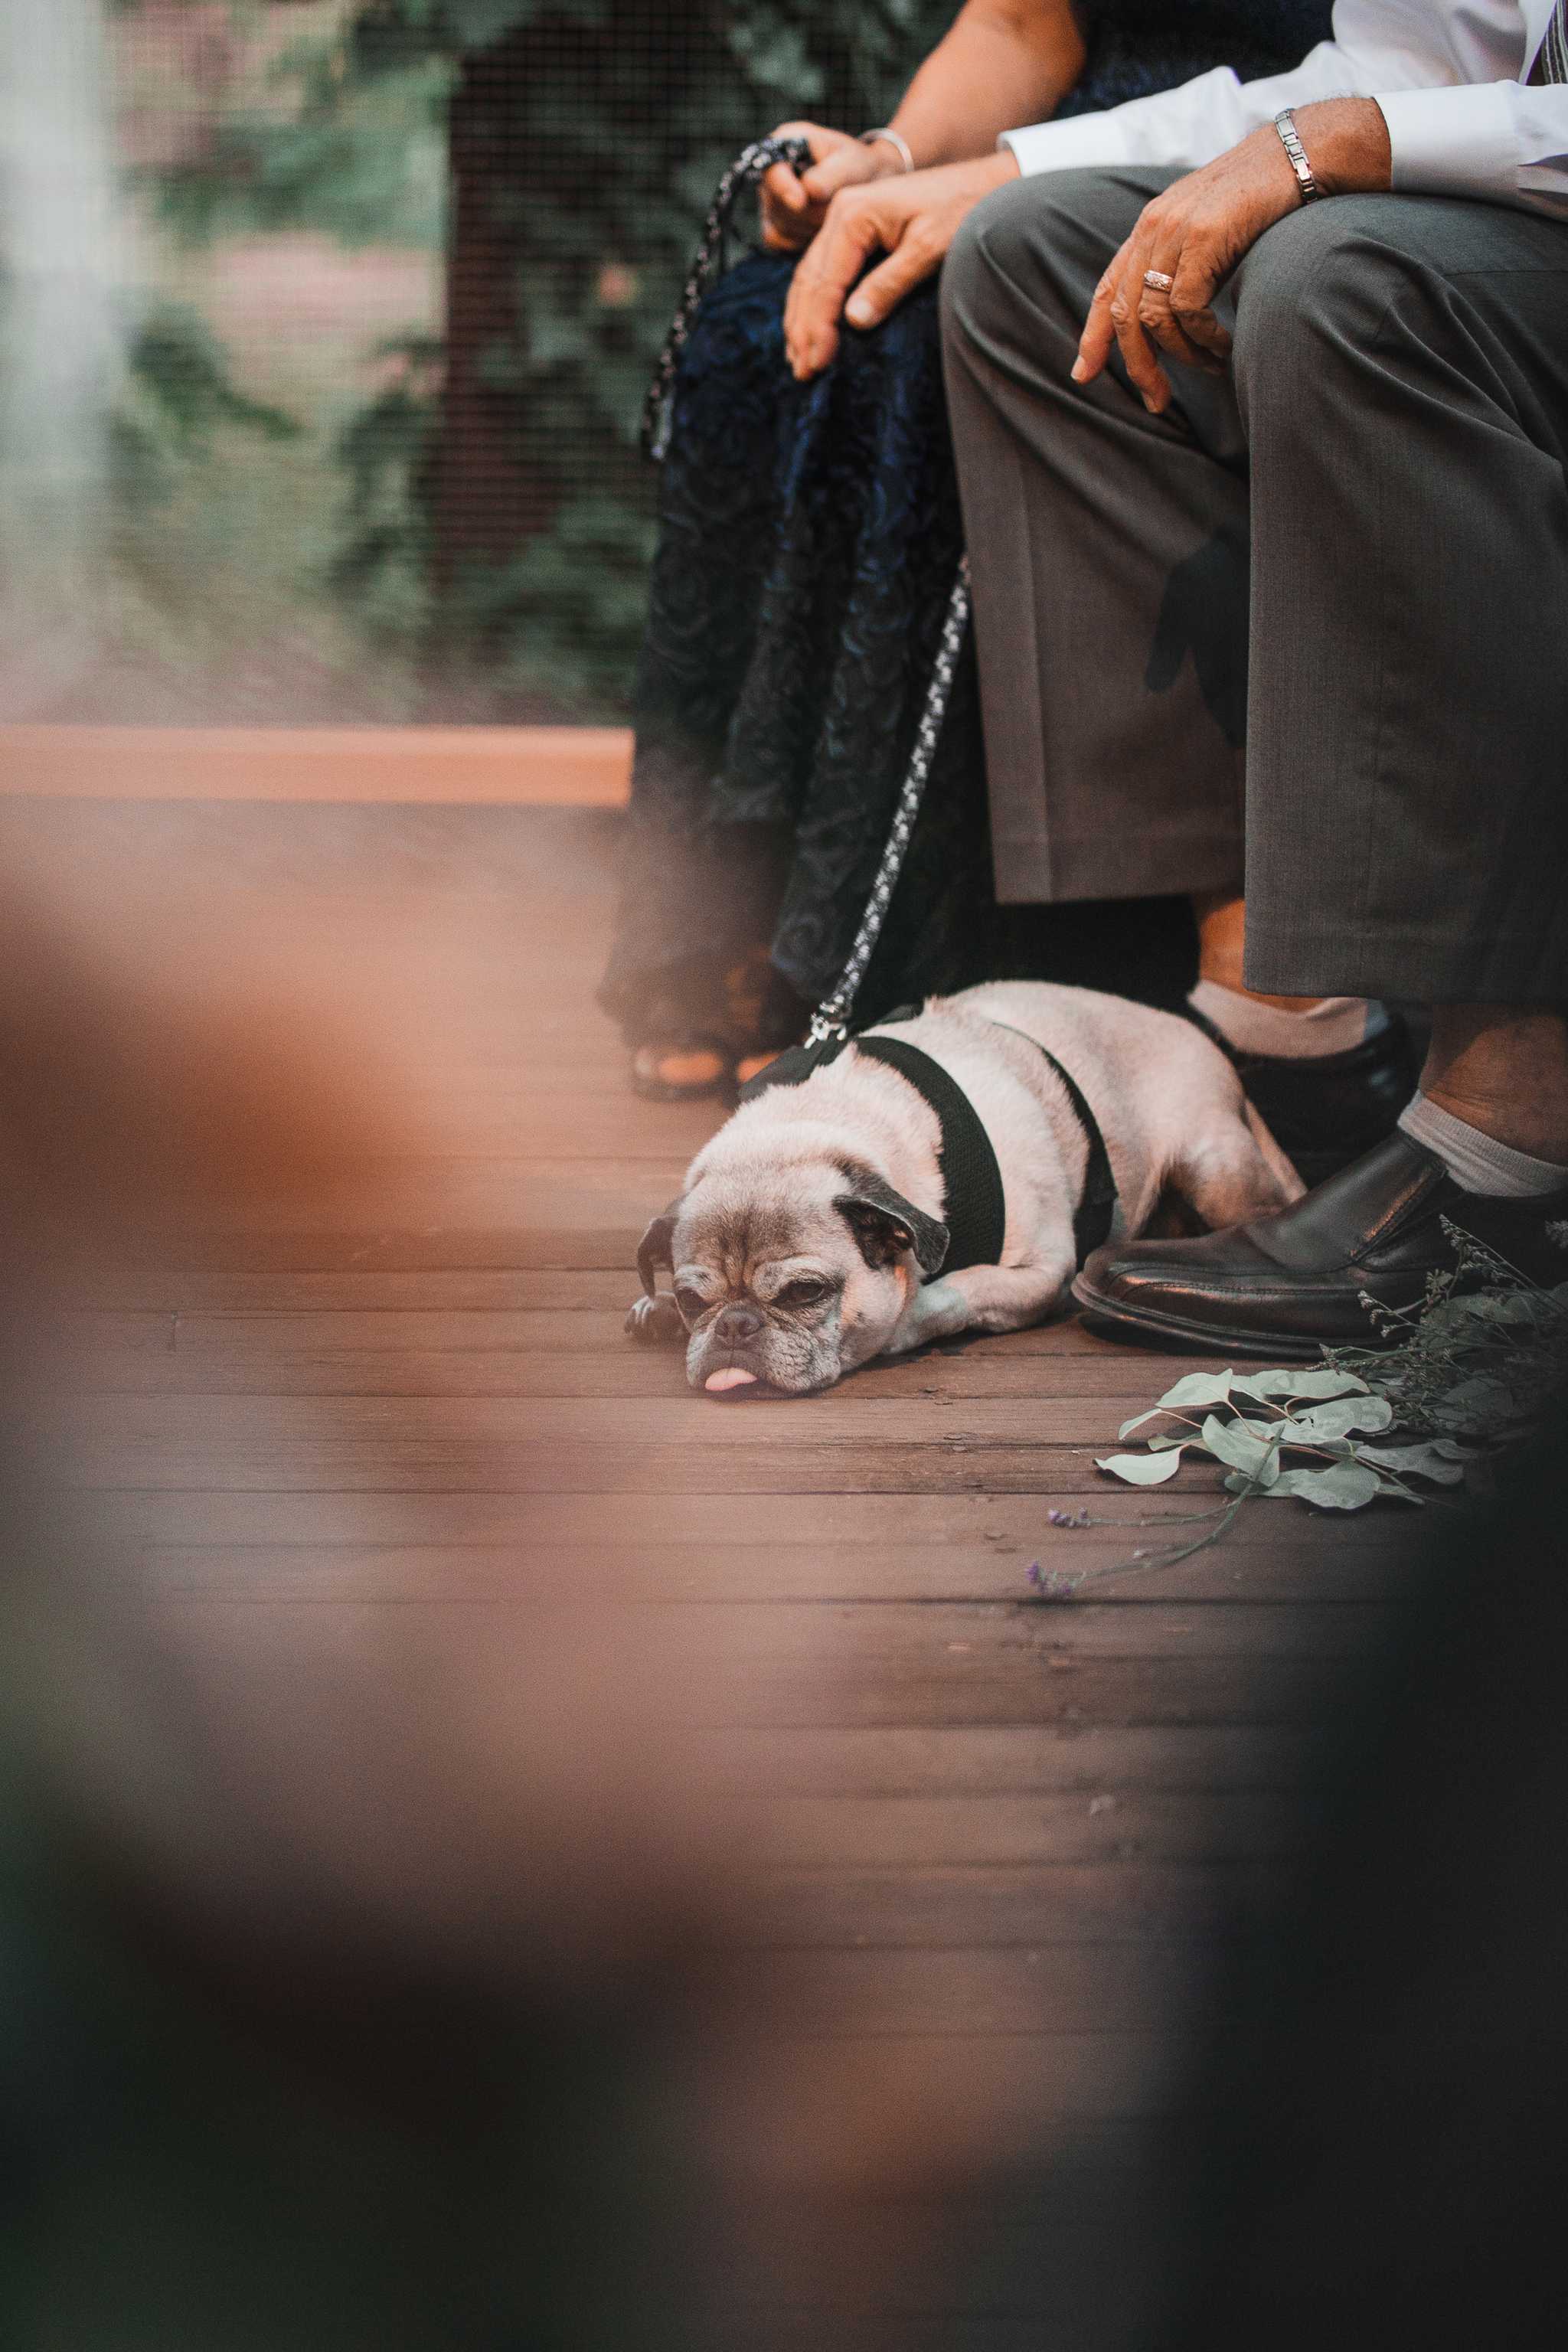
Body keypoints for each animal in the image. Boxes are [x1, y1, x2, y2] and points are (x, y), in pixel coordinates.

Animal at [625, 978, 1297, 1392]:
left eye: (803, 1293)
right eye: (693, 1300)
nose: (734, 1326)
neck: (820, 1127)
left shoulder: (1042, 1270)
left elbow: (954, 1293)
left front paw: (904, 1321)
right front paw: (659, 1312)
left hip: (1215, 1167)